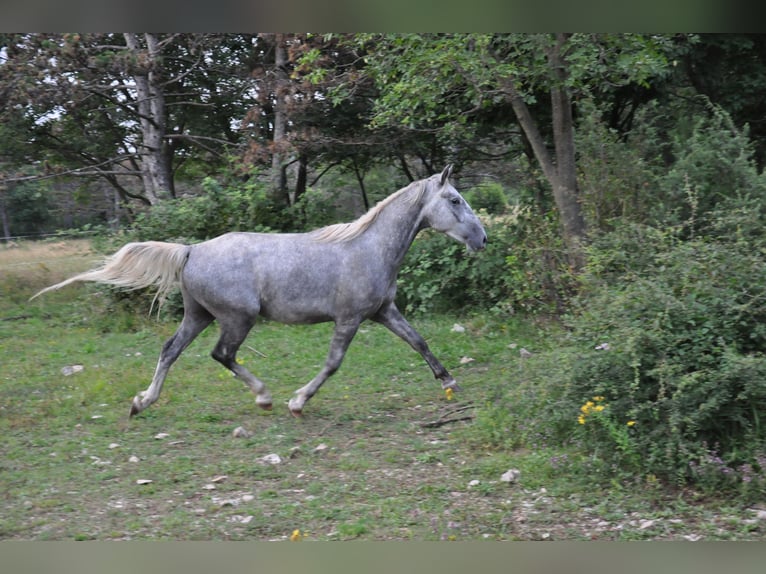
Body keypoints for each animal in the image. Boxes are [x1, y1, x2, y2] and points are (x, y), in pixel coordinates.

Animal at [33, 166, 488, 418]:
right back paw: (264, 397)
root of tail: (191, 249)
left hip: (198, 315)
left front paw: (449, 382)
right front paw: (298, 402)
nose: (482, 238)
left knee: (170, 350)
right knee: (222, 355)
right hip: (238, 318)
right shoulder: (350, 318)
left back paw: (142, 402)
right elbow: (333, 363)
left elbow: (418, 341)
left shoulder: (384, 311)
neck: (368, 248)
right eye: (454, 199)